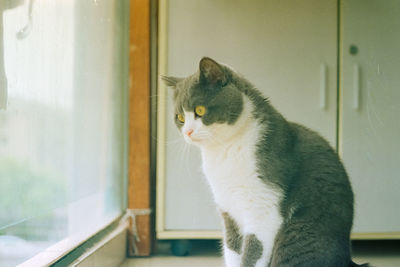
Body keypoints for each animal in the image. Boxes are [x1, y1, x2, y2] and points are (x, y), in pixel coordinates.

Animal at [162, 57, 368, 266]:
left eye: (200, 110)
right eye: (180, 118)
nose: (187, 132)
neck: (223, 151)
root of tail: (348, 259)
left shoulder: (263, 208)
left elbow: (252, 255)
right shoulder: (229, 211)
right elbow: (232, 251)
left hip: (299, 234)